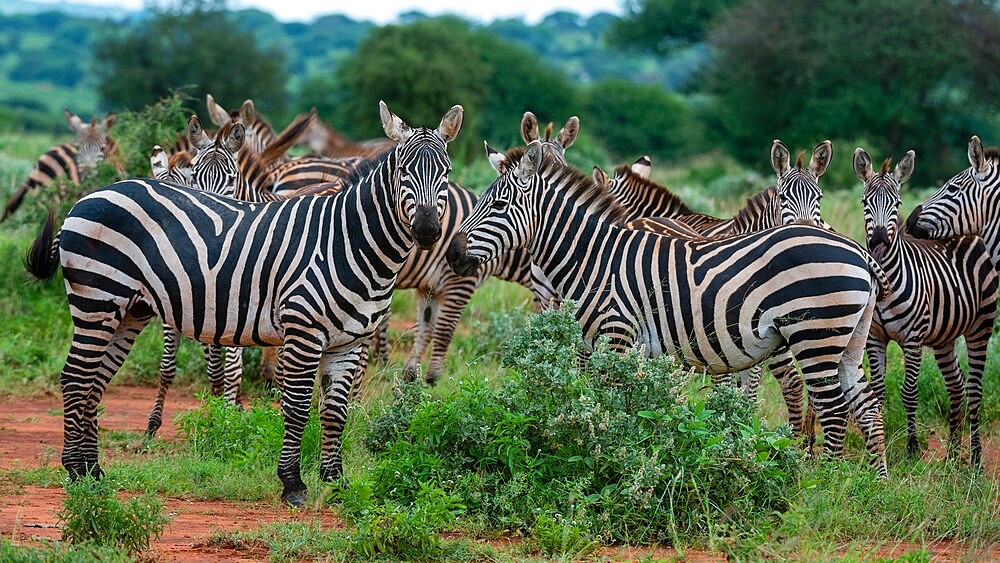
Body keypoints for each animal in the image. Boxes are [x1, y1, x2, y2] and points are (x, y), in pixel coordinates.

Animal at [27, 100, 464, 506]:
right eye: (404, 171)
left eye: (446, 173)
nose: (428, 231)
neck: (350, 242)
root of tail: (89, 196)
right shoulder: (304, 332)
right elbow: (297, 407)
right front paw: (292, 484)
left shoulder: (350, 342)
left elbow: (335, 411)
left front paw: (335, 481)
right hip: (98, 298)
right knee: (76, 377)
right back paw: (75, 470)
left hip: (128, 310)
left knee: (95, 381)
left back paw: (93, 470)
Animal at [450, 143, 888, 478]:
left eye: (499, 204)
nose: (452, 254)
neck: (594, 257)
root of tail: (860, 252)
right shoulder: (602, 346)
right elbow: (611, 405)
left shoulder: (617, 336)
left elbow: (612, 406)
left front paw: (608, 463)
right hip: (850, 339)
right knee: (866, 405)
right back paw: (873, 484)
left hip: (814, 336)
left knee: (833, 408)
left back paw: (822, 482)